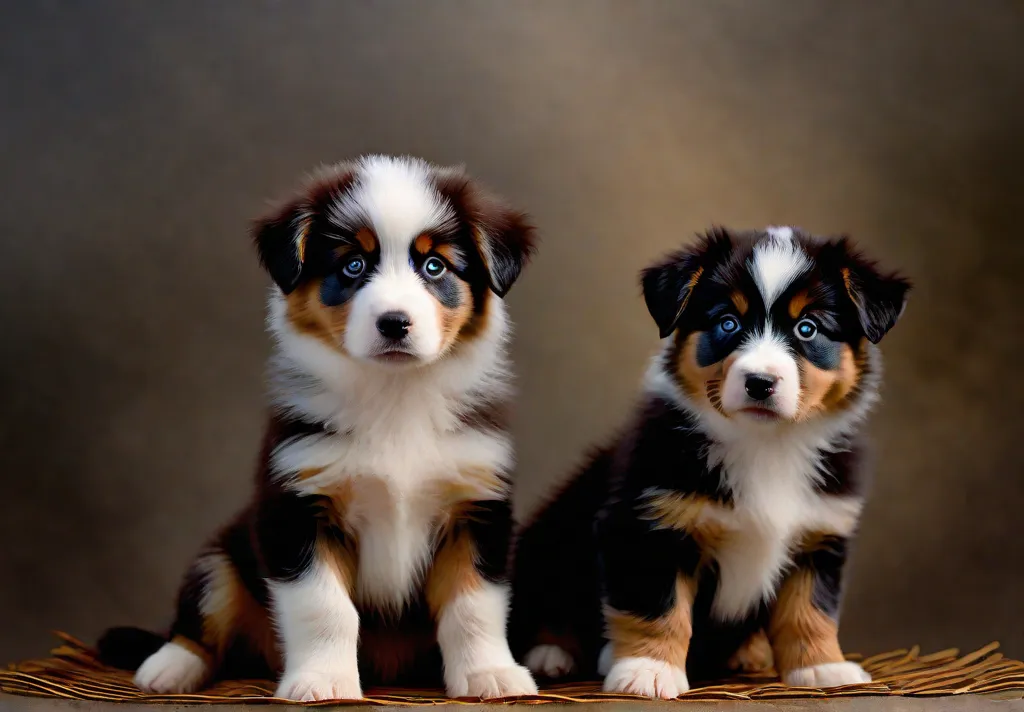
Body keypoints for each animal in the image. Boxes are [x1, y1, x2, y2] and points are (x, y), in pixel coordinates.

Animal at [98, 155, 540, 700]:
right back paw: (168, 668)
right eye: (353, 266)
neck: (394, 397)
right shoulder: (297, 506)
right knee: (199, 618)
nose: (395, 323)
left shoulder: (477, 507)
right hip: (220, 556)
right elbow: (325, 607)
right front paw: (324, 681)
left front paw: (489, 675)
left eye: (434, 266)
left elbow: (474, 605)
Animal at [512, 225, 913, 700]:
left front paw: (822, 668)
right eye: (728, 323)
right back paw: (552, 654)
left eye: (808, 328)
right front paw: (648, 671)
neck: (766, 445)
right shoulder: (647, 526)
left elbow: (811, 610)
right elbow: (658, 608)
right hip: (549, 534)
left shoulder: (820, 533)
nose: (760, 382)